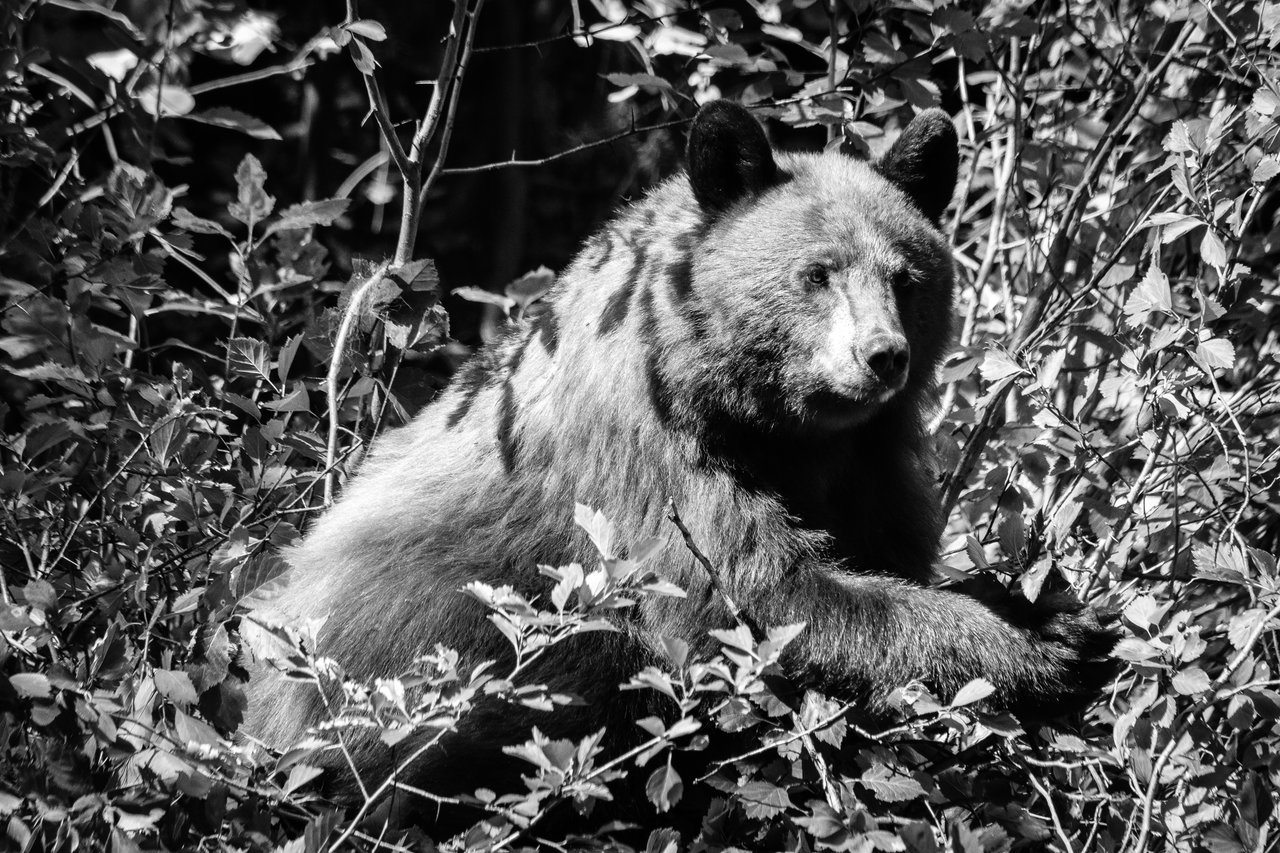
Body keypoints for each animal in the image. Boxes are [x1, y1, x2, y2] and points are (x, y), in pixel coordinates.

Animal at [244, 100, 1117, 822]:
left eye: (907, 276)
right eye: (816, 271)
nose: (882, 356)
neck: (771, 420)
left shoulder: (870, 461)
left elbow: (881, 551)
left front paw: (1034, 601)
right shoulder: (652, 453)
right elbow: (751, 597)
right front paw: (1040, 642)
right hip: (410, 665)